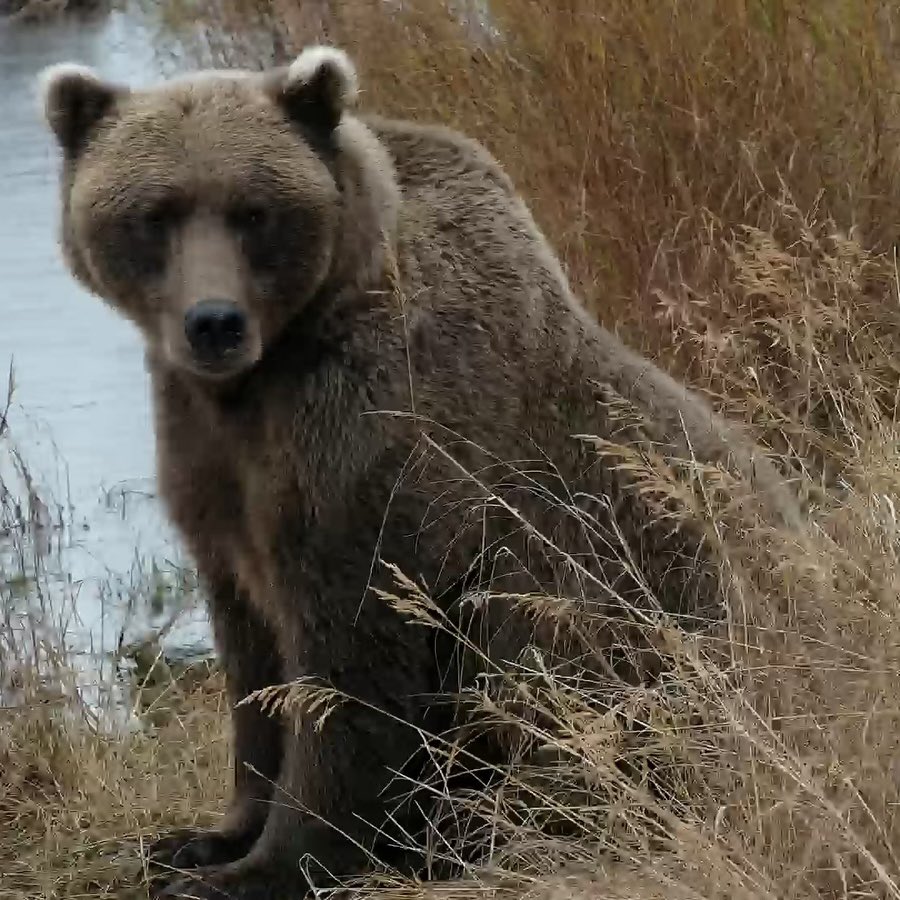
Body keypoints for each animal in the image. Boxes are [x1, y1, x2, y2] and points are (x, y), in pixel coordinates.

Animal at [39, 46, 802, 899]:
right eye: (154, 213)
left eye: (253, 211)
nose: (214, 323)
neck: (263, 375)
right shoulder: (211, 465)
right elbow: (251, 658)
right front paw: (201, 839)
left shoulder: (373, 441)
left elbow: (351, 666)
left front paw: (267, 864)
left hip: (657, 645)